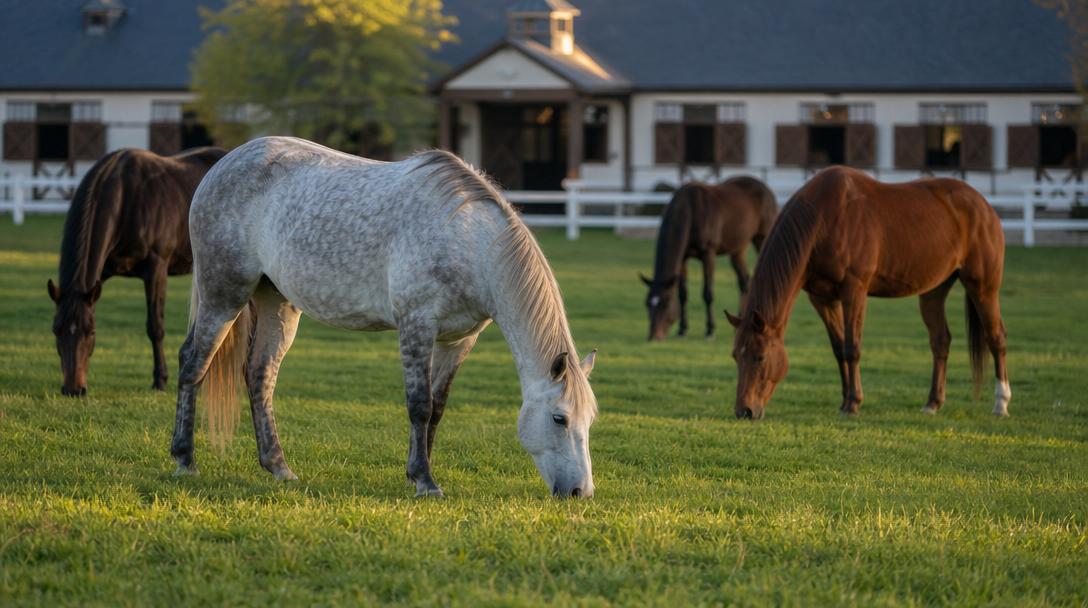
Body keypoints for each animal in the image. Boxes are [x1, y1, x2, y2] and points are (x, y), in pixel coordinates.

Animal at [47, 146, 227, 396]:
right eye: (56, 330)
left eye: (91, 332)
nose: (73, 390)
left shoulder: (156, 269)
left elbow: (155, 327)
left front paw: (160, 380)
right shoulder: (100, 276)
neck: (126, 198)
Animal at [171, 136, 598, 498]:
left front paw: (417, 472)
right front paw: (425, 481)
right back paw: (184, 459)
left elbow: (438, 408)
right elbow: (419, 404)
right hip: (223, 294)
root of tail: (224, 164)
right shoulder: (416, 325)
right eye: (559, 418)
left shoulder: (459, 340)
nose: (580, 491)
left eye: (589, 420)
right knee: (193, 363)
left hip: (277, 302)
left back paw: (278, 467)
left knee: (260, 375)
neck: (467, 242)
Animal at [640, 177, 777, 341]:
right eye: (647, 303)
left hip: (762, 238)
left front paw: (710, 331)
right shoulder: (684, 258)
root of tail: (766, 189)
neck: (691, 210)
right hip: (738, 249)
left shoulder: (708, 254)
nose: (653, 337)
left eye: (666, 303)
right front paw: (682, 330)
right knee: (744, 281)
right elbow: (682, 294)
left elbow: (707, 293)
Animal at [724, 166, 1010, 420]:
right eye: (736, 356)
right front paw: (844, 399)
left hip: (983, 286)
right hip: (934, 291)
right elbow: (839, 348)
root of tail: (983, 205)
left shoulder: (855, 290)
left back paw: (1001, 403)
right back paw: (933, 403)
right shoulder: (822, 298)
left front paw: (853, 403)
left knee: (996, 338)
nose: (744, 411)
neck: (826, 220)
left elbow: (852, 347)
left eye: (760, 357)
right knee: (940, 341)